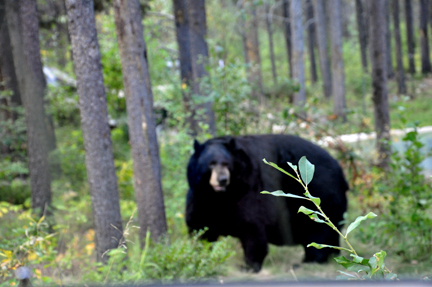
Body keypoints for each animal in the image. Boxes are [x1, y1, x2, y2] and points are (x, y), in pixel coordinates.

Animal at [186, 135, 348, 272]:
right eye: (211, 164)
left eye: (226, 164)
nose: (223, 179)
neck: (221, 196)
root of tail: (339, 169)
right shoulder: (200, 199)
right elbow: (200, 228)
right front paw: (199, 255)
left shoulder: (249, 190)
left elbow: (252, 227)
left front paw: (249, 266)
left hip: (320, 194)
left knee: (319, 231)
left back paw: (308, 261)